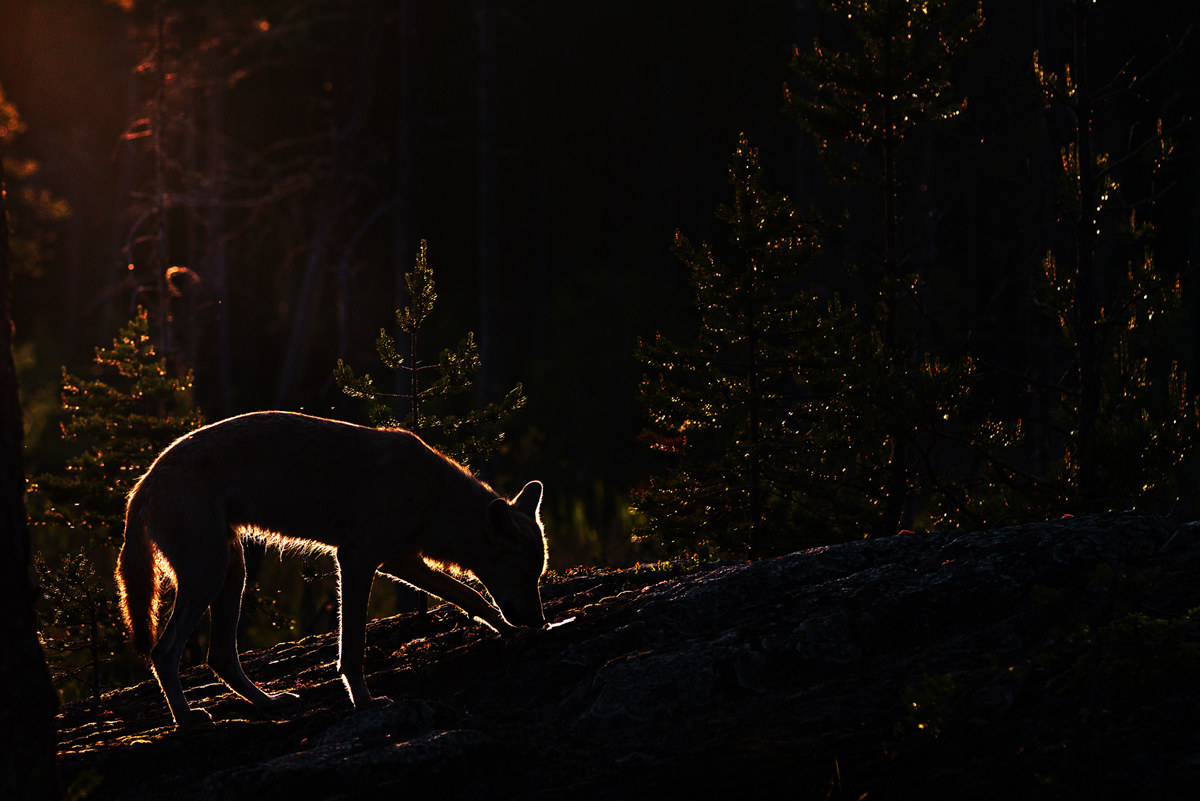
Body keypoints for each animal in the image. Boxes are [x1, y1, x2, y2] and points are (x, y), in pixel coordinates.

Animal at [115, 411, 548, 727]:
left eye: (538, 577)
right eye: (527, 576)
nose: (540, 622)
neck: (434, 497)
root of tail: (142, 482)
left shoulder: (403, 562)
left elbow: (471, 595)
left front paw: (507, 630)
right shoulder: (357, 560)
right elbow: (352, 649)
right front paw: (366, 702)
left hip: (230, 575)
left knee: (218, 656)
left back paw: (269, 703)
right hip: (210, 576)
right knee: (163, 652)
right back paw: (189, 721)